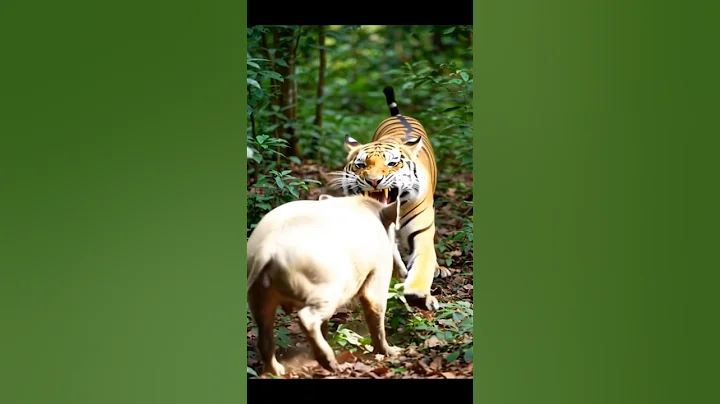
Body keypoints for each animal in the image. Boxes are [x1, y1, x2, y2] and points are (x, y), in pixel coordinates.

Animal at [326, 86, 450, 312]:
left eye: (392, 163)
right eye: (360, 165)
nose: (374, 180)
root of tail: (400, 115)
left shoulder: (422, 234)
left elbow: (422, 264)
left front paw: (417, 294)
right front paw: (401, 275)